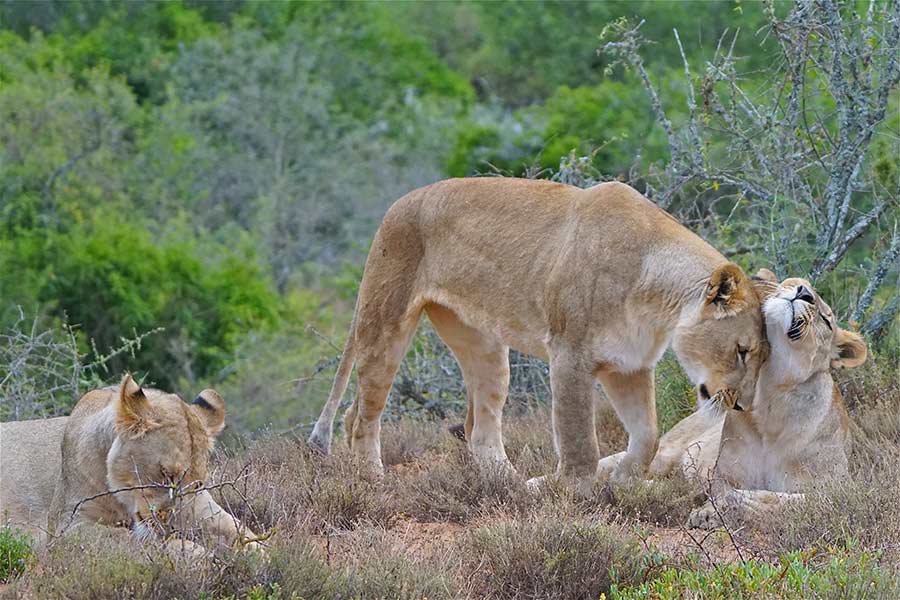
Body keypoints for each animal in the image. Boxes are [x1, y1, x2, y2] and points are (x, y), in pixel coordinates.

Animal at [0, 375, 262, 555]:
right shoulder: (68, 527)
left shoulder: (204, 508)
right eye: (165, 473)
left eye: (197, 484)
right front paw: (197, 554)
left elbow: (240, 531)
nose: (173, 525)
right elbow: (132, 540)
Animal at [308, 177, 767, 491]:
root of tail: (398, 203)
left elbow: (648, 436)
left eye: (764, 358)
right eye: (742, 351)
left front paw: (624, 480)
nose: (742, 406)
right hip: (385, 321)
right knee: (360, 414)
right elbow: (579, 440)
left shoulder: (629, 366)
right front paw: (574, 492)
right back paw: (372, 478)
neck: (659, 301)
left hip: (485, 346)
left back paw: (508, 484)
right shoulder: (570, 354)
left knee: (480, 428)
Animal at [595, 270, 867, 527]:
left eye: (826, 320)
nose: (804, 293)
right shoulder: (722, 473)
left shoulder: (836, 492)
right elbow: (722, 491)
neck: (770, 395)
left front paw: (733, 504)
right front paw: (708, 510)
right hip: (666, 453)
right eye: (795, 282)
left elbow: (782, 502)